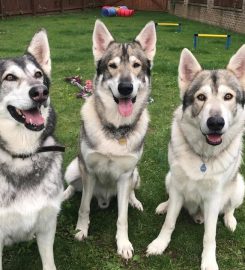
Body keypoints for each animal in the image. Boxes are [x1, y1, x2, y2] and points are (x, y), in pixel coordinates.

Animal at [64, 20, 157, 258]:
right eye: (112, 66)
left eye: (136, 65)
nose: (125, 88)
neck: (116, 129)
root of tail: (104, 199)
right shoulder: (88, 171)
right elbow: (84, 207)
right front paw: (81, 230)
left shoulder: (125, 176)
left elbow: (122, 218)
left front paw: (123, 244)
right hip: (74, 169)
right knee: (73, 187)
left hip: (136, 175)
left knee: (131, 192)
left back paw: (135, 202)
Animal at [146, 45, 245, 268]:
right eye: (201, 97)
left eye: (228, 97)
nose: (215, 122)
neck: (203, 158)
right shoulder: (177, 186)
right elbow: (169, 223)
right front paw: (159, 244)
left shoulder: (214, 197)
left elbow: (210, 236)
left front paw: (209, 262)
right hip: (169, 178)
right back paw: (164, 206)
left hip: (239, 186)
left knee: (229, 209)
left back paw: (230, 221)